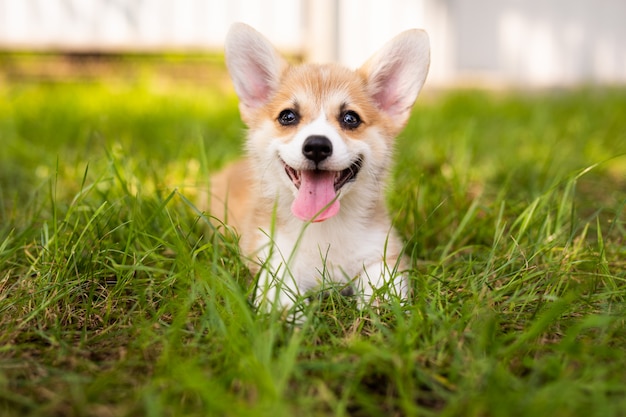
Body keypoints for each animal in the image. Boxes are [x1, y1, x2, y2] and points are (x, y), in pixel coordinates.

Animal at [210, 22, 428, 312]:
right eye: (287, 116)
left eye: (350, 118)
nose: (316, 146)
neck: (323, 228)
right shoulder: (270, 254)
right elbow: (278, 283)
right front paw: (287, 313)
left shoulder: (383, 250)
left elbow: (382, 279)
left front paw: (380, 303)